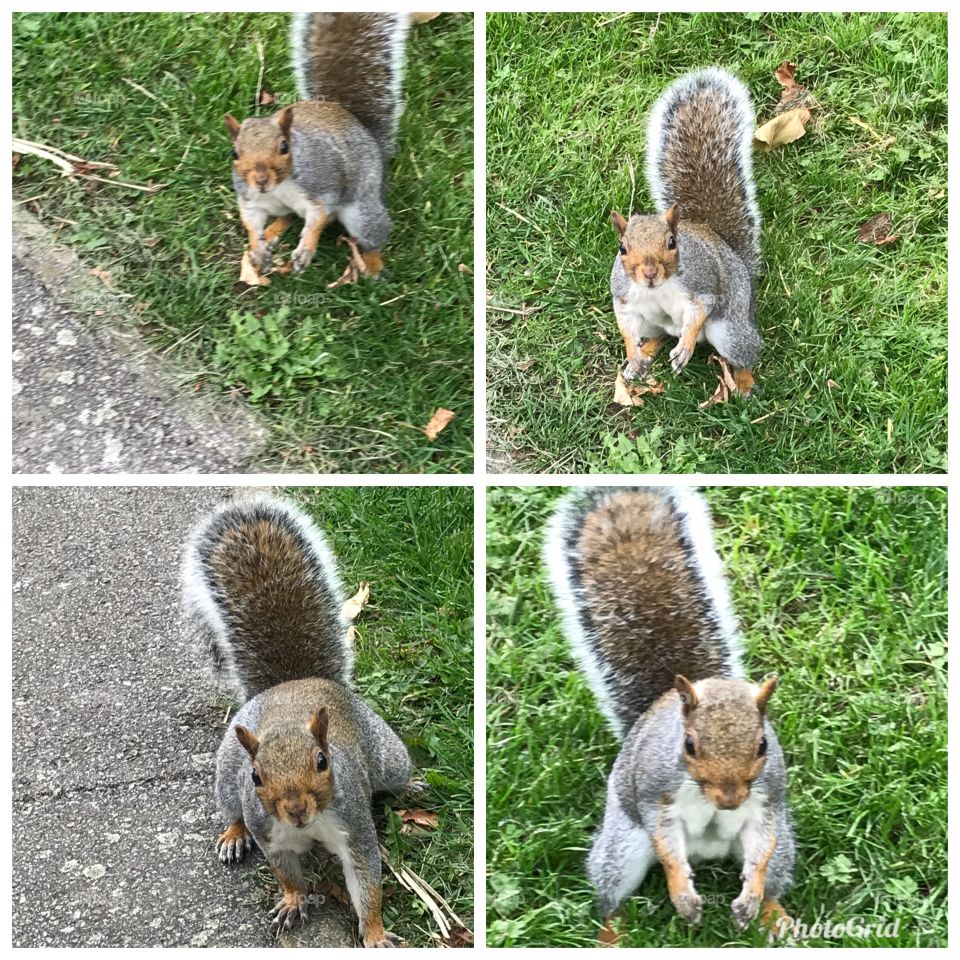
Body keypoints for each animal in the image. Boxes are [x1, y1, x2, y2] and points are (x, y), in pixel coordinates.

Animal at [182, 494, 414, 946]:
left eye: (322, 761)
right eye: (257, 775)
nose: (294, 810)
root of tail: (298, 681)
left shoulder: (354, 825)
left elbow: (367, 882)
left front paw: (375, 932)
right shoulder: (270, 834)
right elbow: (286, 874)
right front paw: (292, 902)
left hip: (388, 755)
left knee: (396, 772)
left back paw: (412, 784)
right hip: (225, 771)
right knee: (231, 809)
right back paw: (233, 836)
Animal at [224, 13, 422, 281]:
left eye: (284, 147)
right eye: (234, 152)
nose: (261, 181)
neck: (281, 184)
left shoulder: (322, 183)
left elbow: (318, 217)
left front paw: (306, 249)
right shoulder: (250, 198)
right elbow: (251, 221)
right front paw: (258, 249)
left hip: (363, 210)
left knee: (372, 235)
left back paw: (372, 265)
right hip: (279, 206)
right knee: (288, 215)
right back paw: (272, 232)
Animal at [543, 487, 794, 941]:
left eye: (763, 744)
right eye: (688, 745)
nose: (730, 800)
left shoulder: (768, 799)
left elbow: (761, 849)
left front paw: (750, 897)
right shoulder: (654, 793)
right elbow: (667, 848)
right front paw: (684, 898)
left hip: (786, 848)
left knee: (774, 874)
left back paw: (773, 914)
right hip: (621, 848)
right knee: (611, 892)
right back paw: (613, 934)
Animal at [610, 69, 762, 396]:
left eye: (672, 242)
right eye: (622, 248)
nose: (650, 273)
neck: (658, 288)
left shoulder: (701, 285)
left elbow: (697, 315)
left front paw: (686, 348)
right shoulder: (624, 296)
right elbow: (625, 324)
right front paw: (632, 352)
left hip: (731, 328)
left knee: (744, 352)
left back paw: (743, 382)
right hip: (651, 323)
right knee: (659, 335)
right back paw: (641, 357)